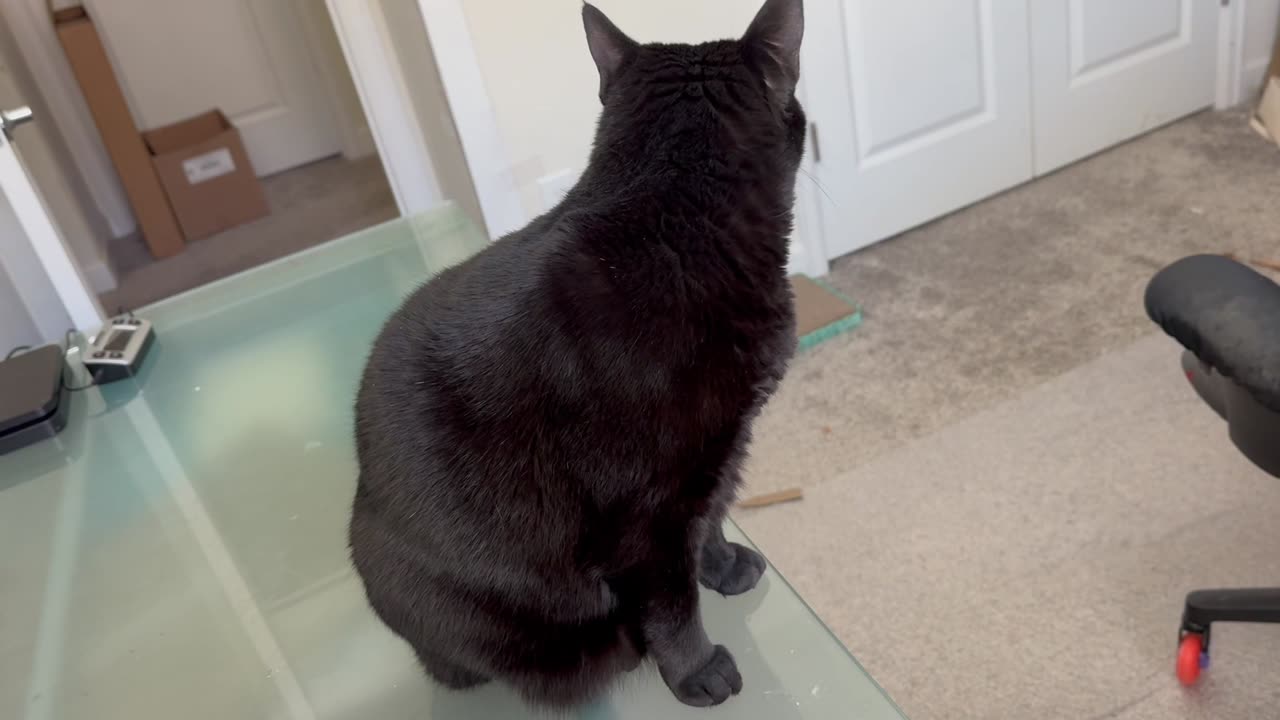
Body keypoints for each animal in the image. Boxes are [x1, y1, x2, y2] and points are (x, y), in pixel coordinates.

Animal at [350, 0, 803, 707]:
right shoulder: (647, 511)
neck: (671, 227)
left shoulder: (718, 453)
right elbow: (672, 602)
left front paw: (724, 566)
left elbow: (714, 518)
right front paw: (697, 671)